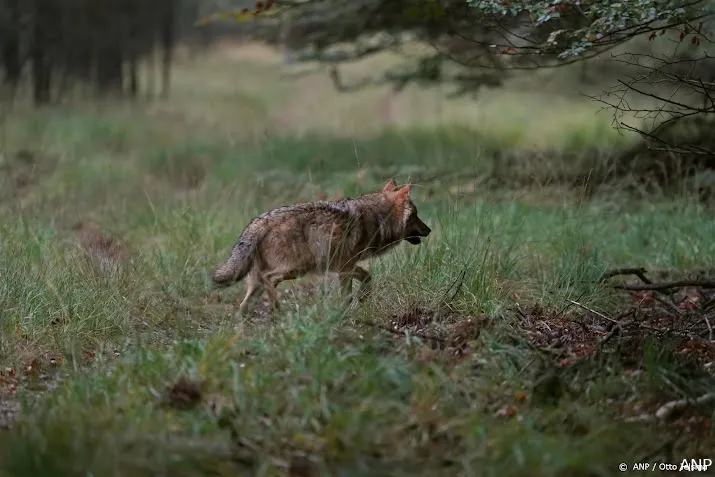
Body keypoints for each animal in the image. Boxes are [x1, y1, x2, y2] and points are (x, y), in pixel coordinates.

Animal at [213, 178, 434, 312]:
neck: (377, 219)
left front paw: (362, 299)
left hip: (259, 281)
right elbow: (351, 292)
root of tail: (259, 221)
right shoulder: (344, 268)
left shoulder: (344, 267)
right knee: (270, 281)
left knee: (242, 308)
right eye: (416, 215)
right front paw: (347, 311)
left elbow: (367, 277)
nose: (430, 230)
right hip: (295, 269)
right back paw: (277, 312)